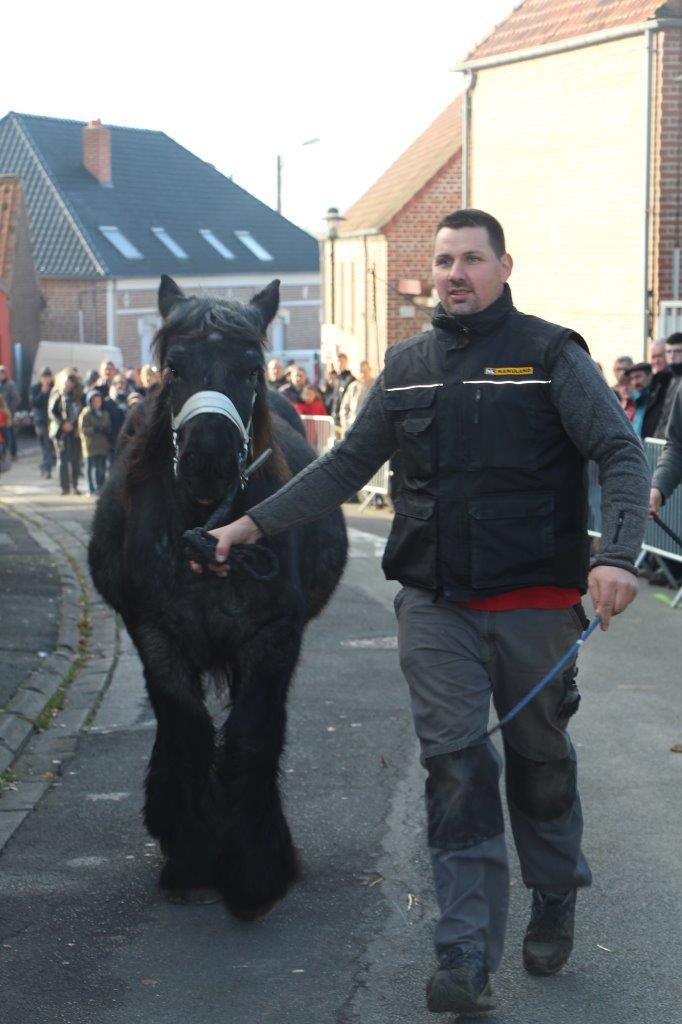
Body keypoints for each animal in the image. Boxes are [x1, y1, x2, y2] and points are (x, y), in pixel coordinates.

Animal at [88, 276, 348, 917]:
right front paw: (190, 853)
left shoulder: (274, 634)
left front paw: (255, 868)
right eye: (173, 366)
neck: (207, 529)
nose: (208, 460)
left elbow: (253, 734)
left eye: (252, 367)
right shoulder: (155, 633)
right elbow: (186, 729)